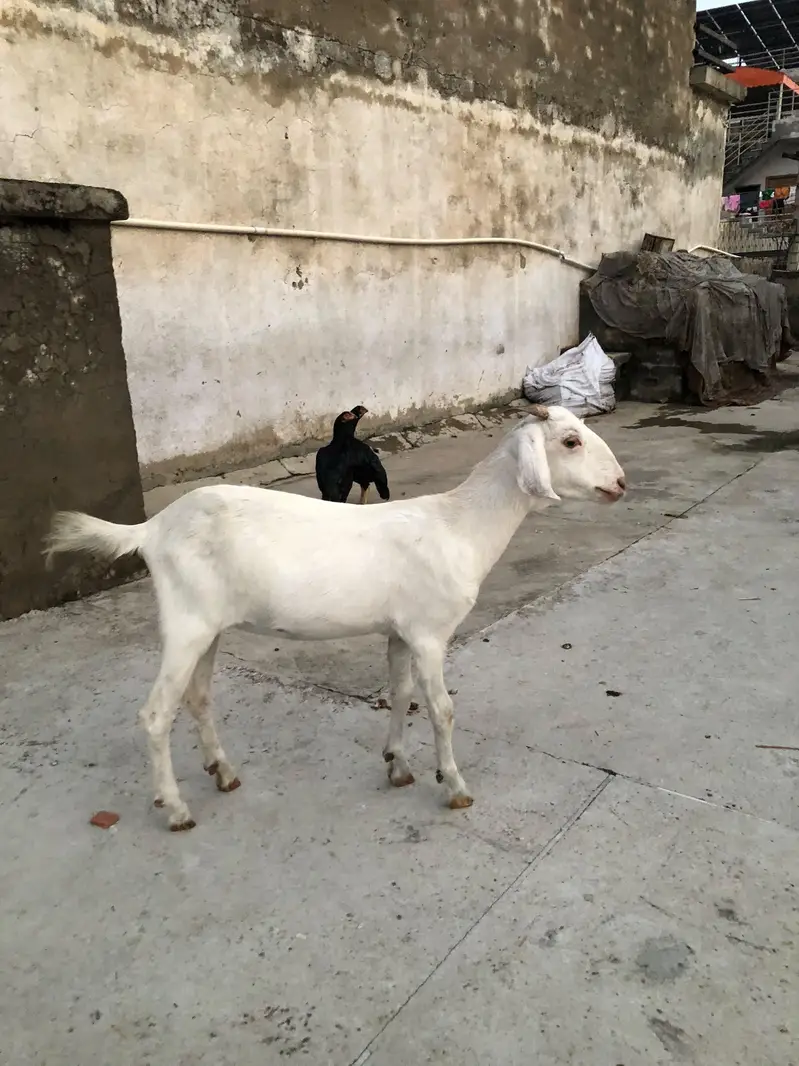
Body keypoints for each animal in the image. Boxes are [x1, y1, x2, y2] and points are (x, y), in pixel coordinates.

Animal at [44, 405, 626, 831]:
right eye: (570, 441)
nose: (620, 483)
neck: (460, 527)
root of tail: (152, 529)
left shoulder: (400, 630)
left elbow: (401, 694)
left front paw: (398, 765)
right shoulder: (430, 633)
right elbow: (441, 709)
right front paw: (456, 787)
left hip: (206, 626)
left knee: (198, 696)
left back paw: (223, 773)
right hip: (185, 621)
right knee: (155, 713)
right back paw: (177, 809)